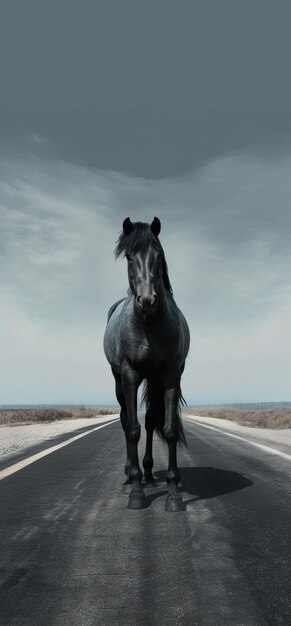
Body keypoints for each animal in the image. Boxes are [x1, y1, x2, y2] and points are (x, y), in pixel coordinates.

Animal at [104, 217, 190, 510]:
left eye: (159, 256)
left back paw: (150, 473)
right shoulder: (130, 375)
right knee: (124, 419)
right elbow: (132, 429)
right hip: (119, 380)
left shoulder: (170, 376)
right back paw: (131, 474)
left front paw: (173, 493)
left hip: (153, 381)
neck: (150, 325)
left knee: (152, 421)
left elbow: (169, 430)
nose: (148, 300)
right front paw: (137, 493)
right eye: (130, 257)